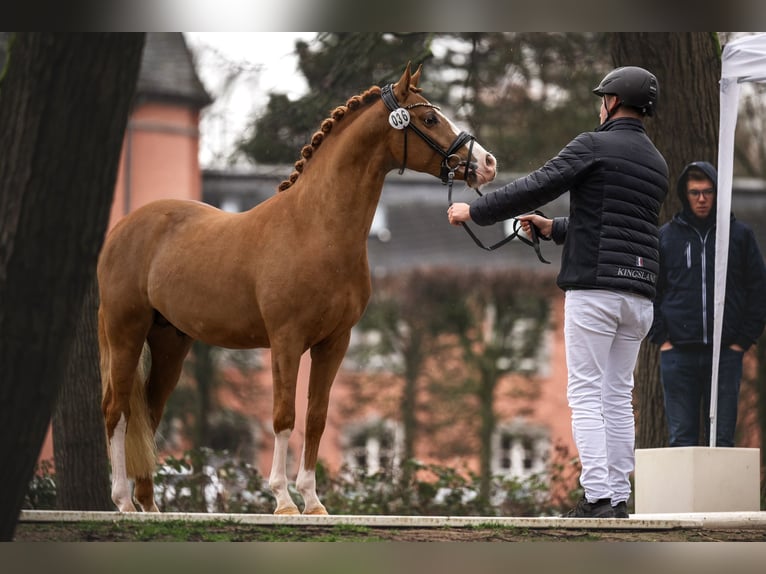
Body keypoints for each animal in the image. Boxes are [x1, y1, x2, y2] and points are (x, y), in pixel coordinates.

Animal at [99, 64, 498, 516]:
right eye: (430, 119)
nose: (487, 163)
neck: (316, 228)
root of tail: (124, 228)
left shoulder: (334, 342)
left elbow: (316, 417)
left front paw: (313, 501)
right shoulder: (286, 340)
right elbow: (284, 415)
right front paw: (283, 499)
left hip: (170, 342)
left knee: (148, 414)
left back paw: (149, 506)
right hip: (126, 332)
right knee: (117, 411)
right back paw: (123, 502)